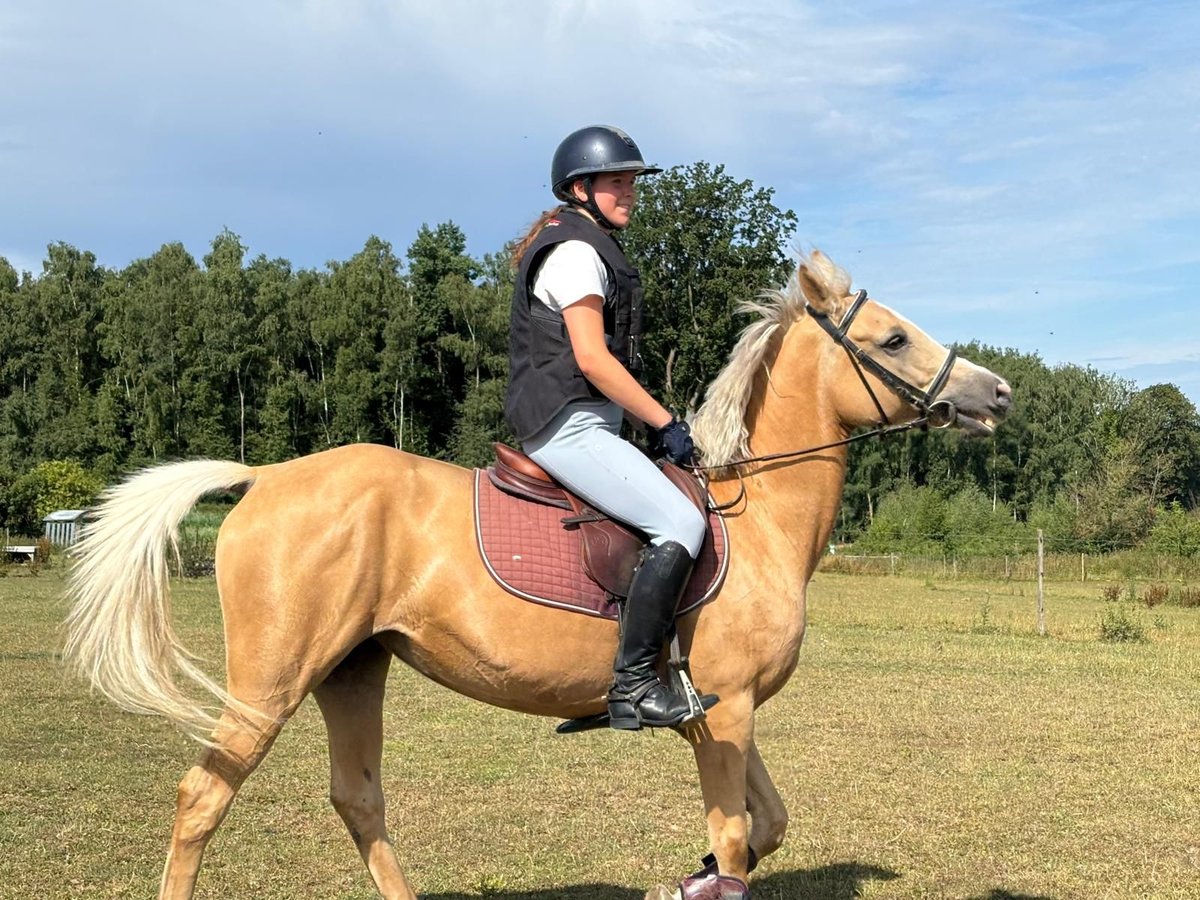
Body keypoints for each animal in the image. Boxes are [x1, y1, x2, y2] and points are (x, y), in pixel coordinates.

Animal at [63, 249, 1011, 899]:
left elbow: (764, 827)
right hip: (273, 678)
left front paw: (686, 877)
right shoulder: (727, 709)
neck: (757, 516)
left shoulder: (717, 716)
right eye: (893, 337)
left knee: (357, 798)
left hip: (352, 669)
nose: (998, 394)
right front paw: (700, 875)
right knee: (203, 797)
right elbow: (741, 839)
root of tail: (263, 477)